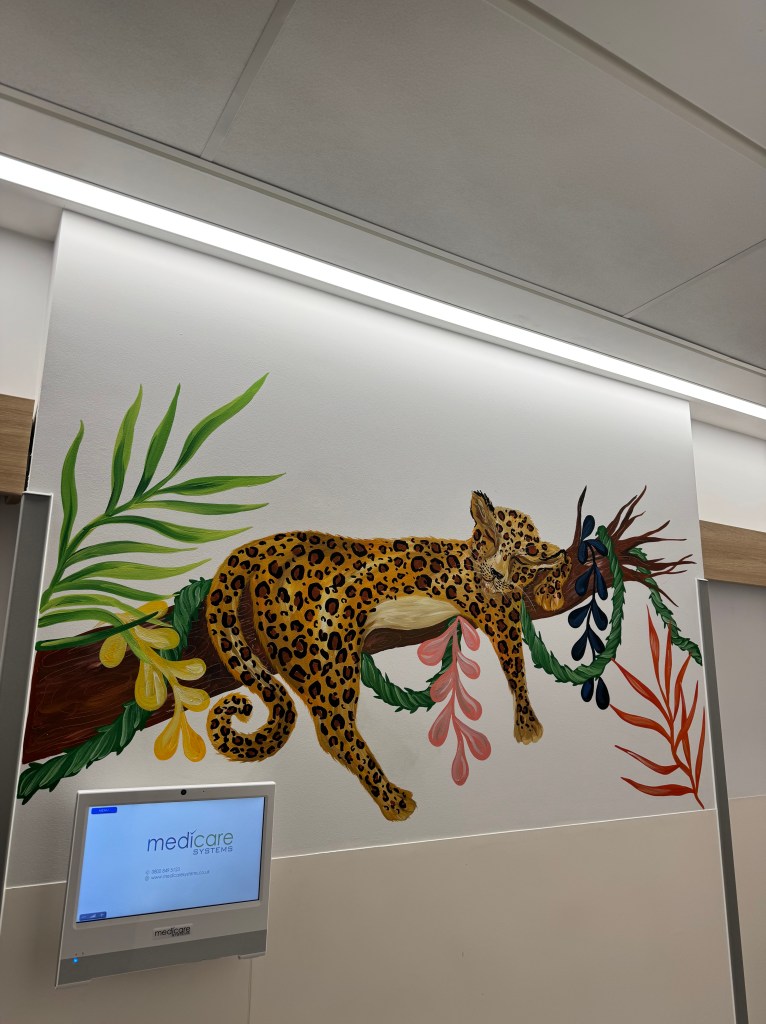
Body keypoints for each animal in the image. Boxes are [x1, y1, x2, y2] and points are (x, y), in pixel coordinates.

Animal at [205, 491, 570, 821]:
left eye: (523, 552)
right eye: (495, 539)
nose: (494, 574)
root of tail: (270, 543)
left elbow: (557, 561)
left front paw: (550, 588)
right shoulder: (498, 611)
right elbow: (516, 666)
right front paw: (527, 724)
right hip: (325, 659)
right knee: (336, 733)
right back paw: (394, 801)